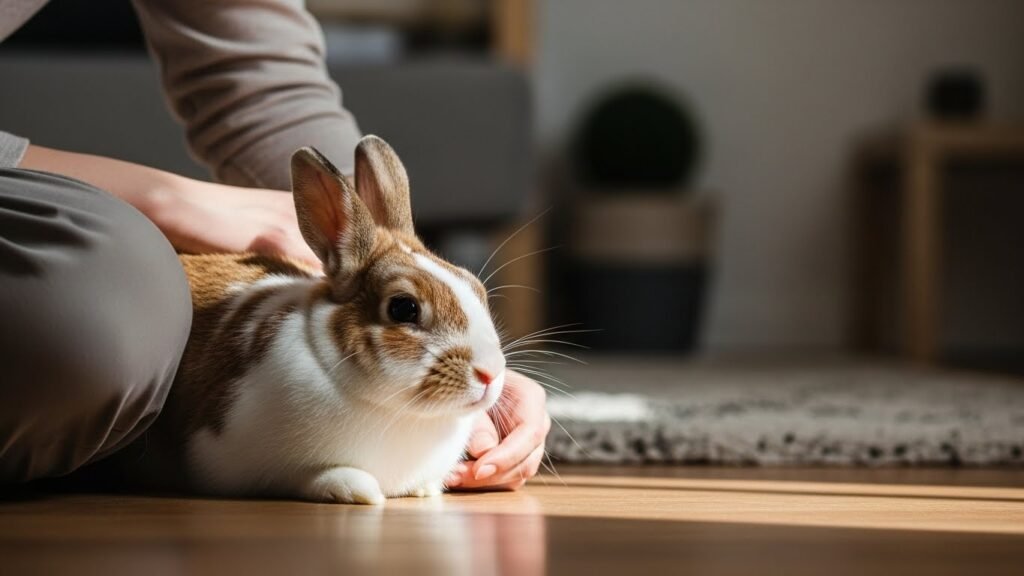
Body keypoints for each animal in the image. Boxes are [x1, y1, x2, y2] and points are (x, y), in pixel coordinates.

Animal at [132, 135, 506, 505]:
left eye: (476, 287)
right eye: (404, 308)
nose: (491, 373)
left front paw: (427, 488)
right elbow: (306, 476)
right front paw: (356, 489)